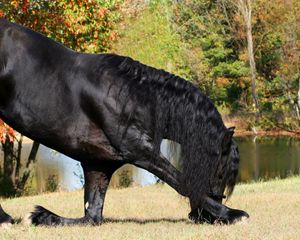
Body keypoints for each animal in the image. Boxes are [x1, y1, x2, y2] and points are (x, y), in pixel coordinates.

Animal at [0, 18, 248, 225]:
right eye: (221, 172)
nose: (203, 217)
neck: (131, 96)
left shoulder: (98, 165)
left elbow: (91, 216)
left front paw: (41, 216)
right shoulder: (141, 152)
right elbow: (180, 181)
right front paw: (234, 214)